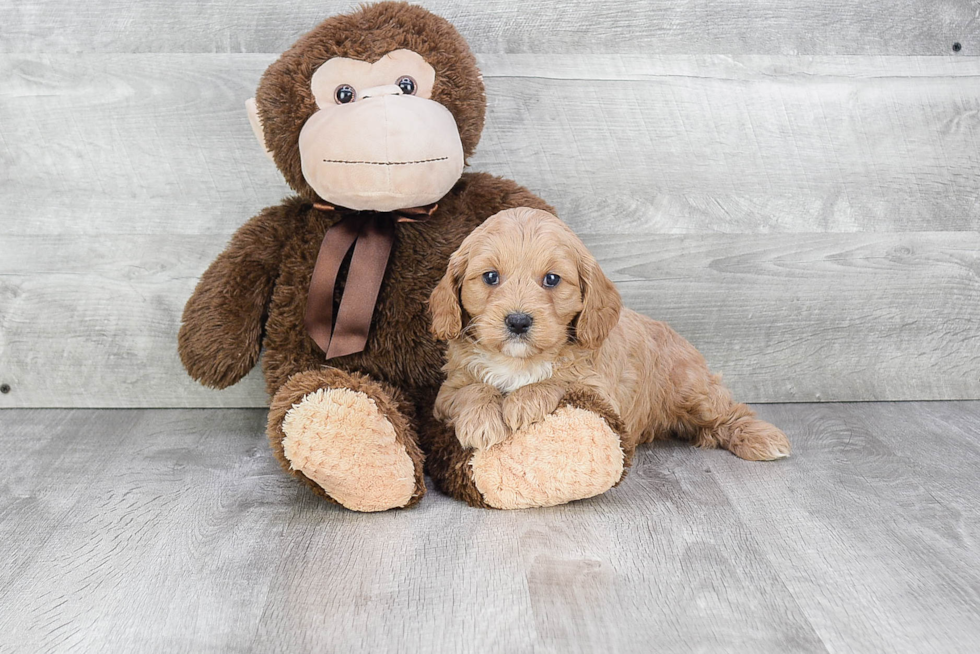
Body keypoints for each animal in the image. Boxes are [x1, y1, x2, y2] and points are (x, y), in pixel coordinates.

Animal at [428, 209, 788, 462]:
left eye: (551, 279)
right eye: (490, 277)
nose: (518, 321)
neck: (520, 362)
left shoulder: (600, 392)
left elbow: (559, 380)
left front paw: (523, 401)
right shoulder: (447, 392)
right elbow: (473, 389)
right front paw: (482, 421)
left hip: (691, 389)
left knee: (728, 411)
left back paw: (763, 438)